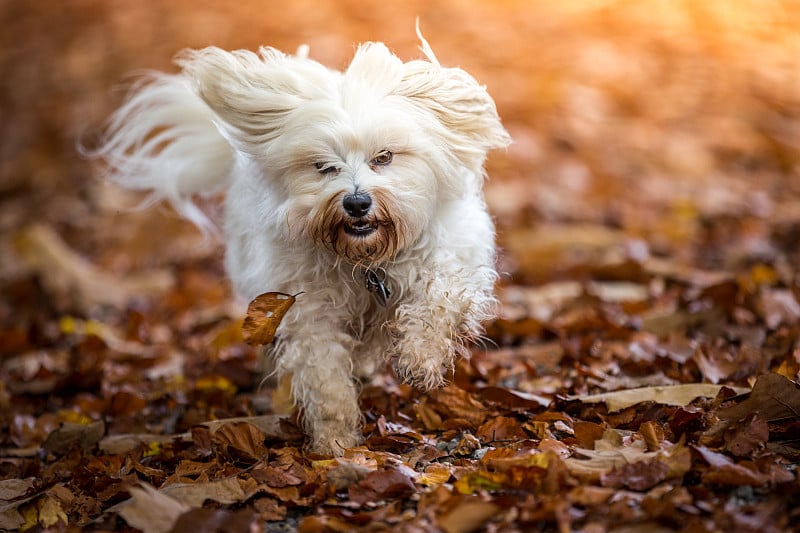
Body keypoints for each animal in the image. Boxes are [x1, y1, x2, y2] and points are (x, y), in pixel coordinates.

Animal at [94, 31, 506, 454]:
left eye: (384, 157)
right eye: (324, 166)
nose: (356, 202)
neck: (366, 260)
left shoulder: (452, 258)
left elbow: (438, 299)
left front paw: (420, 359)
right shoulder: (308, 310)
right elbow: (325, 378)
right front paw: (334, 443)